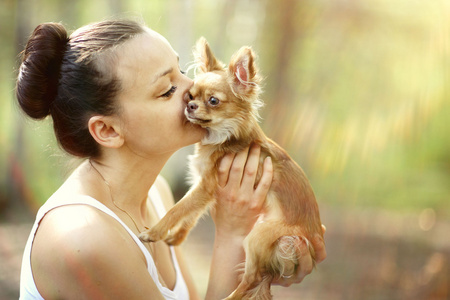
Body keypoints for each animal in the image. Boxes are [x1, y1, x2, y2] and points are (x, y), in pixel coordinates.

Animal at [141, 38, 324, 300]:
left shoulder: (205, 186)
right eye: (190, 96)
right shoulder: (204, 186)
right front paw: (176, 237)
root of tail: (312, 236)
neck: (222, 138)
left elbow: (178, 209)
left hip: (258, 236)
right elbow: (191, 214)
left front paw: (155, 233)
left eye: (213, 101)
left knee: (252, 278)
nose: (190, 105)